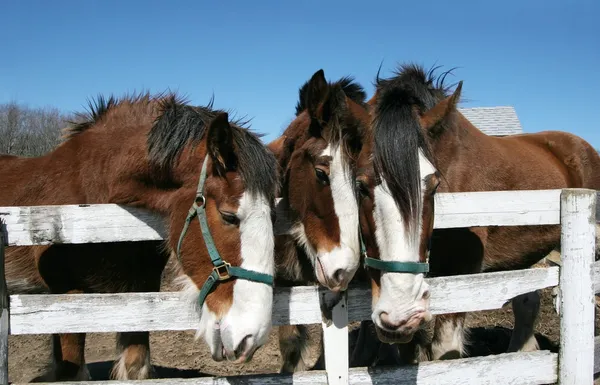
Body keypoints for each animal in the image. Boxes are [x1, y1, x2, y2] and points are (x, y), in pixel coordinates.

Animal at [360, 63, 600, 360]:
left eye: (433, 185)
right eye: (361, 185)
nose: (398, 313)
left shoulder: (462, 270)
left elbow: (445, 350)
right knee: (527, 300)